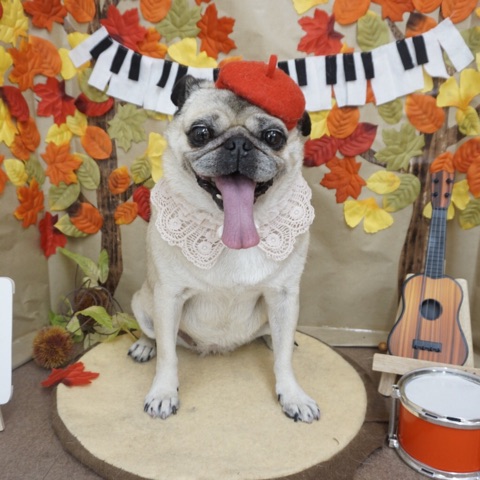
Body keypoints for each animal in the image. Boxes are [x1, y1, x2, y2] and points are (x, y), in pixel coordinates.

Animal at [128, 57, 320, 423]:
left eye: (273, 137)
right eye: (201, 133)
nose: (239, 144)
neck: (225, 229)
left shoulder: (284, 295)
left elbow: (284, 361)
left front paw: (292, 395)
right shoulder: (168, 297)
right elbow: (169, 357)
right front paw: (163, 392)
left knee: (276, 338)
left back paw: (274, 340)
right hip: (144, 302)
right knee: (158, 337)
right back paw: (146, 345)